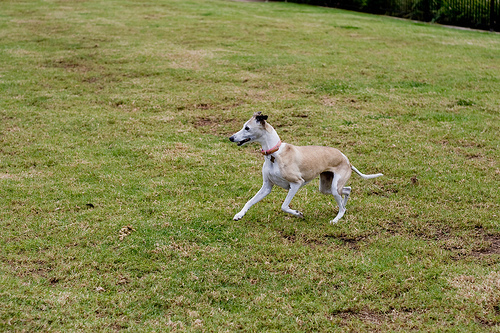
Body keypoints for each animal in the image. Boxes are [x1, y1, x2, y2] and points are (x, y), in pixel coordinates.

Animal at [230, 111, 382, 223]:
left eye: (247, 128)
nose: (231, 138)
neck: (275, 153)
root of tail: (347, 160)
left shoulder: (296, 183)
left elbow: (284, 206)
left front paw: (298, 213)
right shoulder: (267, 186)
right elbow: (249, 201)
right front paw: (239, 214)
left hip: (333, 186)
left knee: (343, 204)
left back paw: (336, 219)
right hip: (326, 187)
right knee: (347, 190)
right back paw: (343, 204)